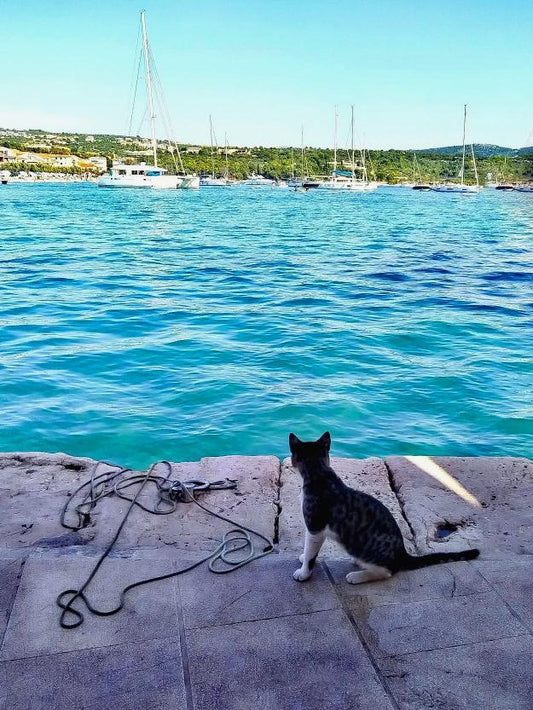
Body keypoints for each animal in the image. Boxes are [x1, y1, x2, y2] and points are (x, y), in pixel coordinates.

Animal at [288, 432, 480, 588]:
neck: (319, 473)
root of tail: (402, 554)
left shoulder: (315, 527)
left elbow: (311, 554)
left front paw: (304, 572)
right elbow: (309, 551)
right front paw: (303, 557)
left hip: (361, 547)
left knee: (387, 572)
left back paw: (357, 576)